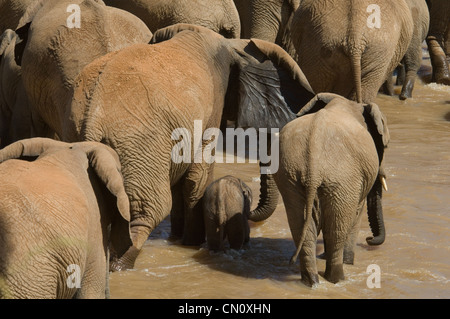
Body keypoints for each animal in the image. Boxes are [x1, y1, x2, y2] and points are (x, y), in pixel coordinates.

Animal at [274, 93, 390, 288]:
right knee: (336, 230)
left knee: (302, 226)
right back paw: (337, 278)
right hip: (343, 178)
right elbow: (355, 216)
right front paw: (349, 262)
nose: (369, 240)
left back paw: (312, 282)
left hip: (290, 174)